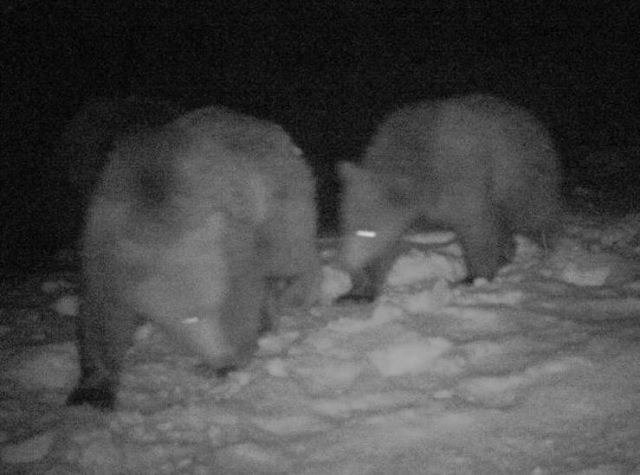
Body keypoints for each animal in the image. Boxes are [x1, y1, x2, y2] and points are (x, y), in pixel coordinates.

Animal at [66, 106, 320, 410]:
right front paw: (93, 388)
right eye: (189, 318)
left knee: (287, 255)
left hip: (279, 199)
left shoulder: (226, 239)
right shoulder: (102, 244)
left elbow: (244, 286)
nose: (222, 358)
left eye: (216, 308)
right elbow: (102, 314)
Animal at [338, 94, 564, 300]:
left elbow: (476, 227)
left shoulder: (460, 179)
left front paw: (475, 276)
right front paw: (358, 290)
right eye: (347, 225)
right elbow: (387, 246)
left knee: (532, 213)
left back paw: (547, 250)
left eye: (368, 231)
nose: (349, 263)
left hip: (520, 172)